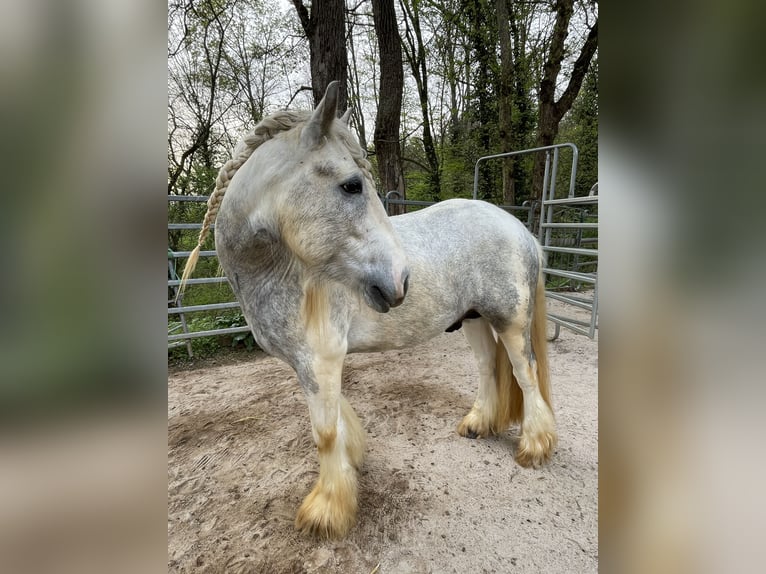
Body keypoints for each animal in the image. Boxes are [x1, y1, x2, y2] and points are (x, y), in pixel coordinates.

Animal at [180, 83, 560, 544]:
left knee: (526, 374)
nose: (400, 280)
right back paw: (478, 424)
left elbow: (324, 432)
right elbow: (338, 417)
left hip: (510, 321)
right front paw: (351, 463)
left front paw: (327, 510)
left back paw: (535, 446)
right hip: (473, 319)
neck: (283, 269)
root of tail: (520, 228)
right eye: (351, 185)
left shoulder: (320, 358)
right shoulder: (309, 361)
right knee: (489, 368)